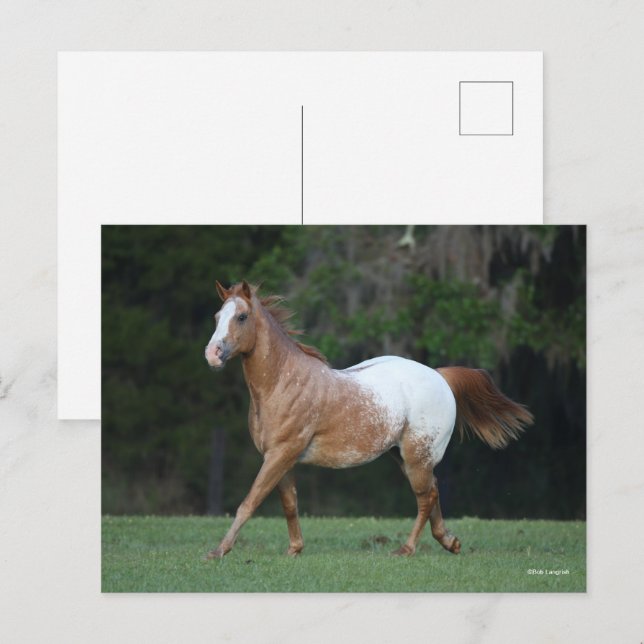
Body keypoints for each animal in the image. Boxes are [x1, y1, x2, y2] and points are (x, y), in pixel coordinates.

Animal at [204, 280, 533, 559]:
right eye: (218, 315)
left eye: (242, 316)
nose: (212, 354)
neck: (283, 384)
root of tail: (439, 376)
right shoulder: (280, 458)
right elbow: (289, 504)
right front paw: (294, 550)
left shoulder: (281, 454)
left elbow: (249, 502)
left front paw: (218, 551)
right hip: (403, 456)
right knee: (434, 491)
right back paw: (449, 542)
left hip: (417, 456)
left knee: (425, 497)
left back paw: (406, 549)